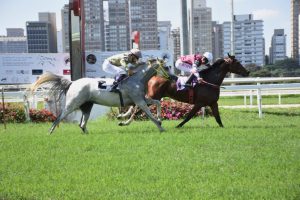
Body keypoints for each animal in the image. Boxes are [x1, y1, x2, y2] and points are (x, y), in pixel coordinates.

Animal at [118, 55, 250, 126]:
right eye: (237, 63)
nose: (247, 72)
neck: (210, 81)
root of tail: (152, 78)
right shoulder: (199, 103)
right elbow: (188, 117)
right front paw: (178, 126)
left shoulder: (213, 103)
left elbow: (218, 119)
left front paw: (223, 128)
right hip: (153, 96)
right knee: (137, 107)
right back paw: (125, 120)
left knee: (137, 106)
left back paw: (124, 117)